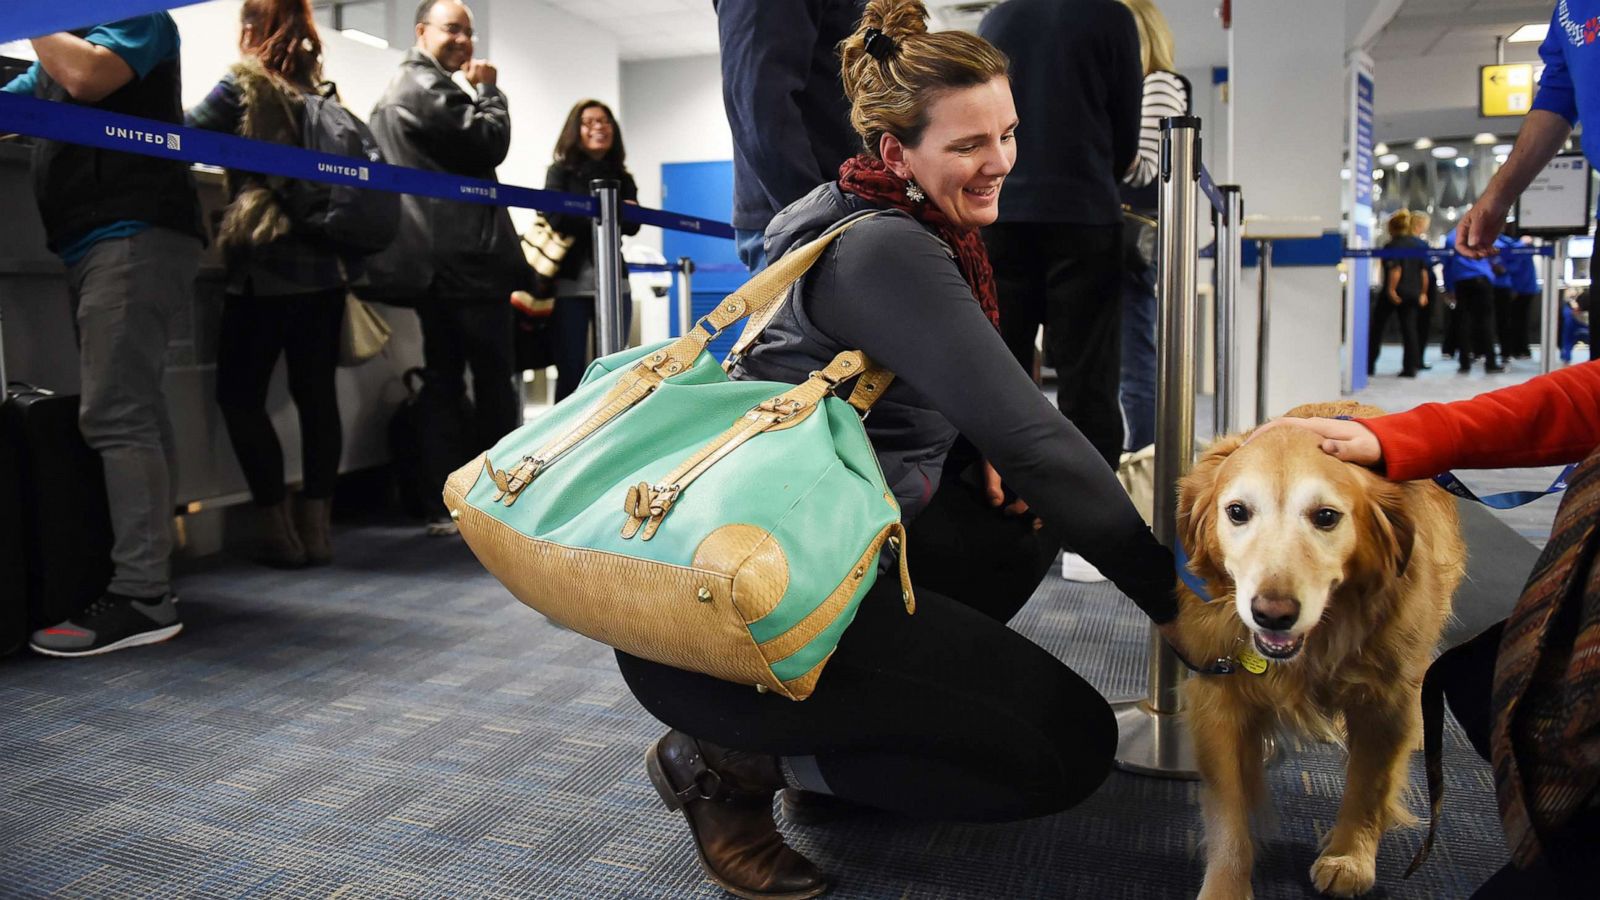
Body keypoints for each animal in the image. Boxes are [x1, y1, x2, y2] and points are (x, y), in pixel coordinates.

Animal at [1177, 400, 1465, 896]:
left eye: (1326, 517)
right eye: (1237, 511)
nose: (1272, 614)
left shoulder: (1388, 700)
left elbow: (1370, 784)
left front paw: (1350, 855)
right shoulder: (1218, 695)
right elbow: (1229, 809)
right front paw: (1226, 886)